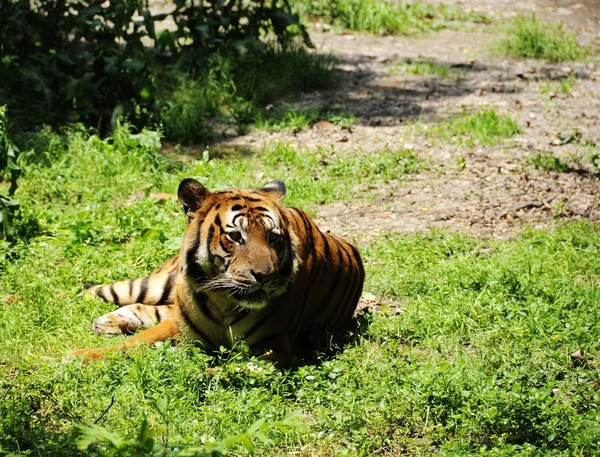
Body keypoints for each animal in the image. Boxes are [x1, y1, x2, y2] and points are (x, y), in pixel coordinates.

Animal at [68, 178, 364, 364]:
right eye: (235, 236)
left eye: (273, 237)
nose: (265, 277)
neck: (223, 301)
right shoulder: (179, 327)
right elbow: (135, 342)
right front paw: (77, 358)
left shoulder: (272, 349)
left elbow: (224, 371)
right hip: (158, 283)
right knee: (107, 292)